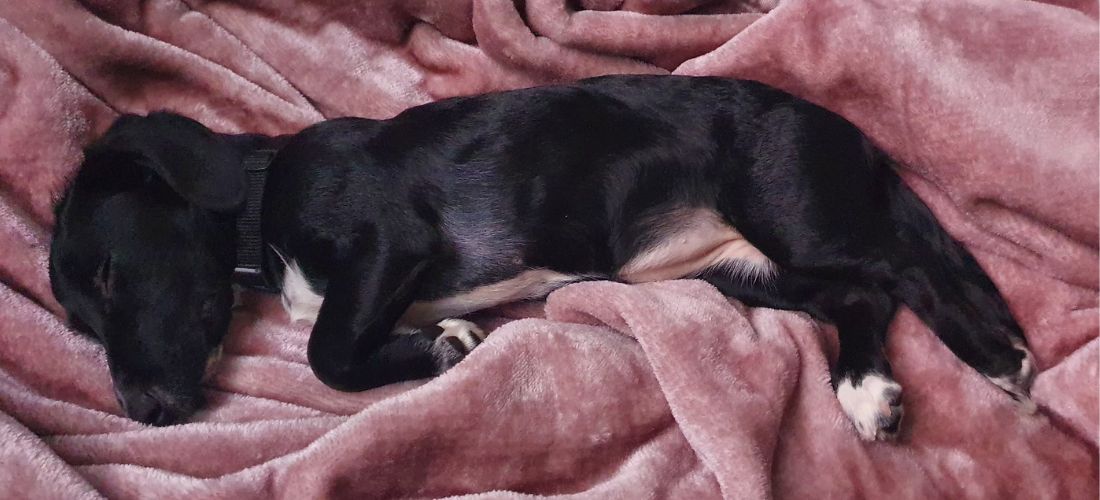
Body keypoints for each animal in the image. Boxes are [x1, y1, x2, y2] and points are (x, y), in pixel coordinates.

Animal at [47, 74, 1034, 439]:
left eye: (108, 272)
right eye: (77, 320)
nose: (146, 414)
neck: (261, 195)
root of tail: (842, 129)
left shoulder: (391, 238)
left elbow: (330, 355)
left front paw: (442, 349)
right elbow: (347, 344)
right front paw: (440, 340)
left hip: (793, 214)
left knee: (906, 272)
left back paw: (999, 360)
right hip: (742, 271)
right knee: (862, 298)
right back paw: (865, 390)